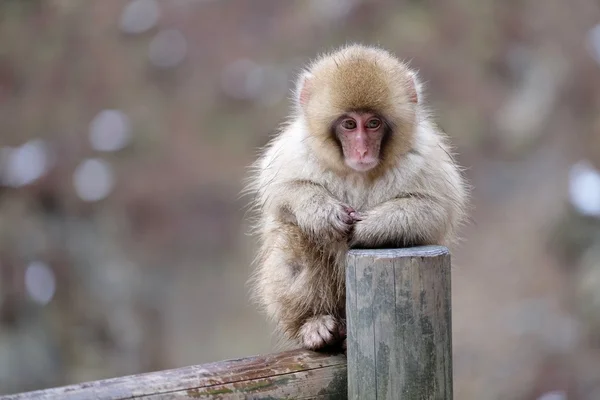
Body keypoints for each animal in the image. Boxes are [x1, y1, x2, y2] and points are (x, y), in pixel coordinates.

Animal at [245, 43, 468, 350]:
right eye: (349, 125)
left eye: (373, 123)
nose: (362, 150)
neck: (359, 174)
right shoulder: (295, 149)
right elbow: (282, 189)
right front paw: (321, 211)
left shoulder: (425, 155)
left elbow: (433, 210)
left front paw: (369, 227)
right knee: (295, 236)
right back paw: (313, 323)